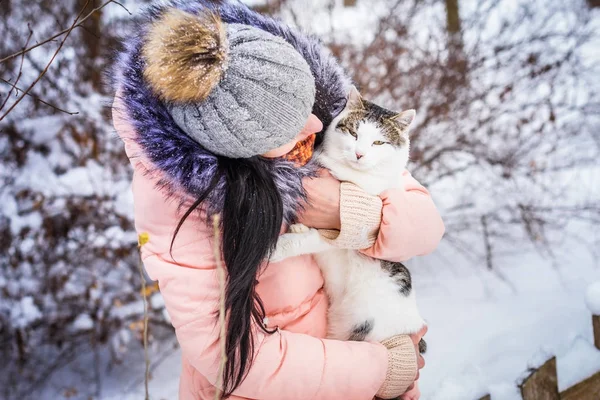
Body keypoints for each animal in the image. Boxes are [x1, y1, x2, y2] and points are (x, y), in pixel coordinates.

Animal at [270, 86, 424, 344]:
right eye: (353, 133)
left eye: (378, 142)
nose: (359, 154)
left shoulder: (340, 236)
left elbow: (308, 241)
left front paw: (277, 249)